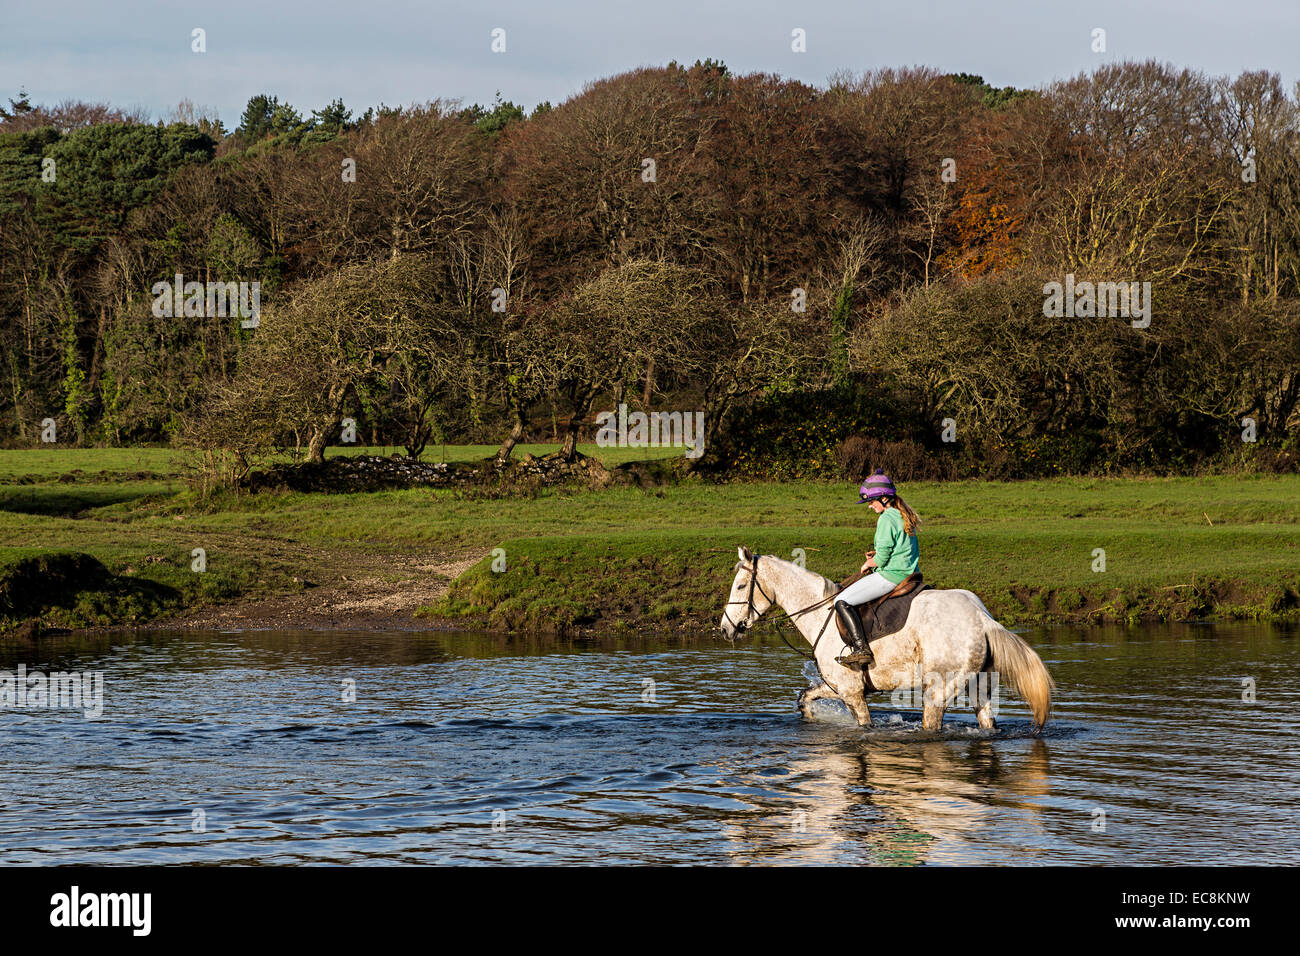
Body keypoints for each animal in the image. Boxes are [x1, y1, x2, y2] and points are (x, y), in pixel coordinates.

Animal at [717, 546, 1060, 733]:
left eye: (741, 586)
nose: (725, 629)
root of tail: (982, 616)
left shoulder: (852, 692)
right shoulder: (837, 686)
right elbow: (804, 698)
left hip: (938, 689)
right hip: (978, 686)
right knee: (987, 722)